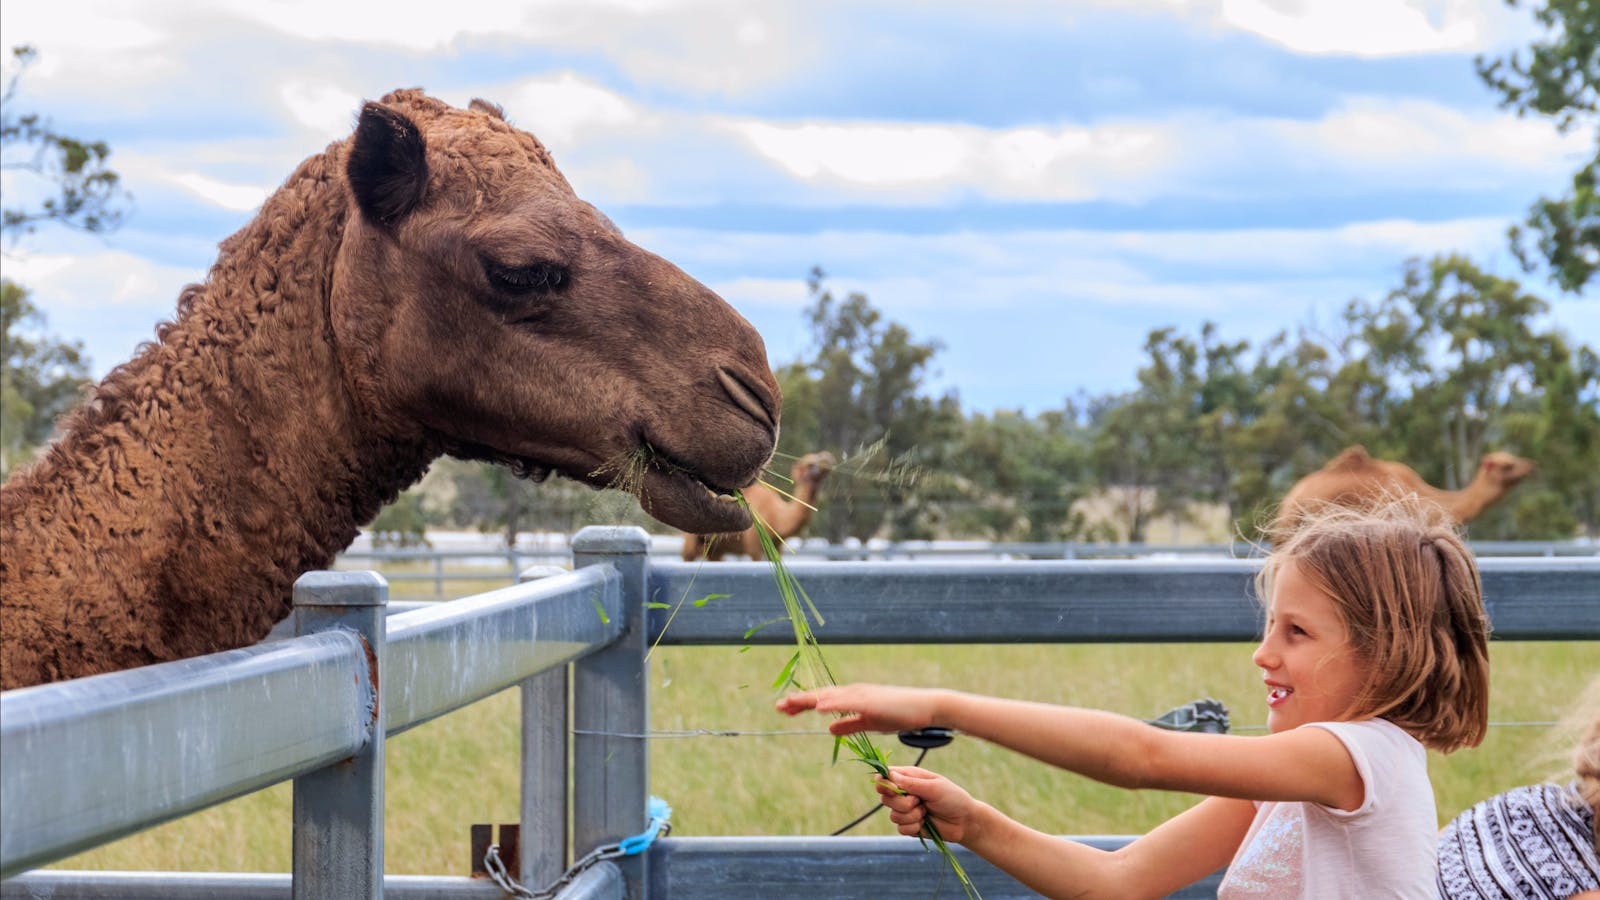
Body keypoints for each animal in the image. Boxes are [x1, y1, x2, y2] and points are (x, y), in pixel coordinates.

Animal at [682, 451, 835, 561]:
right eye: (809, 464)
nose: (826, 456)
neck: (775, 516)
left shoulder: (777, 547)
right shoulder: (754, 546)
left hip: (715, 549)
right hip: (689, 545)